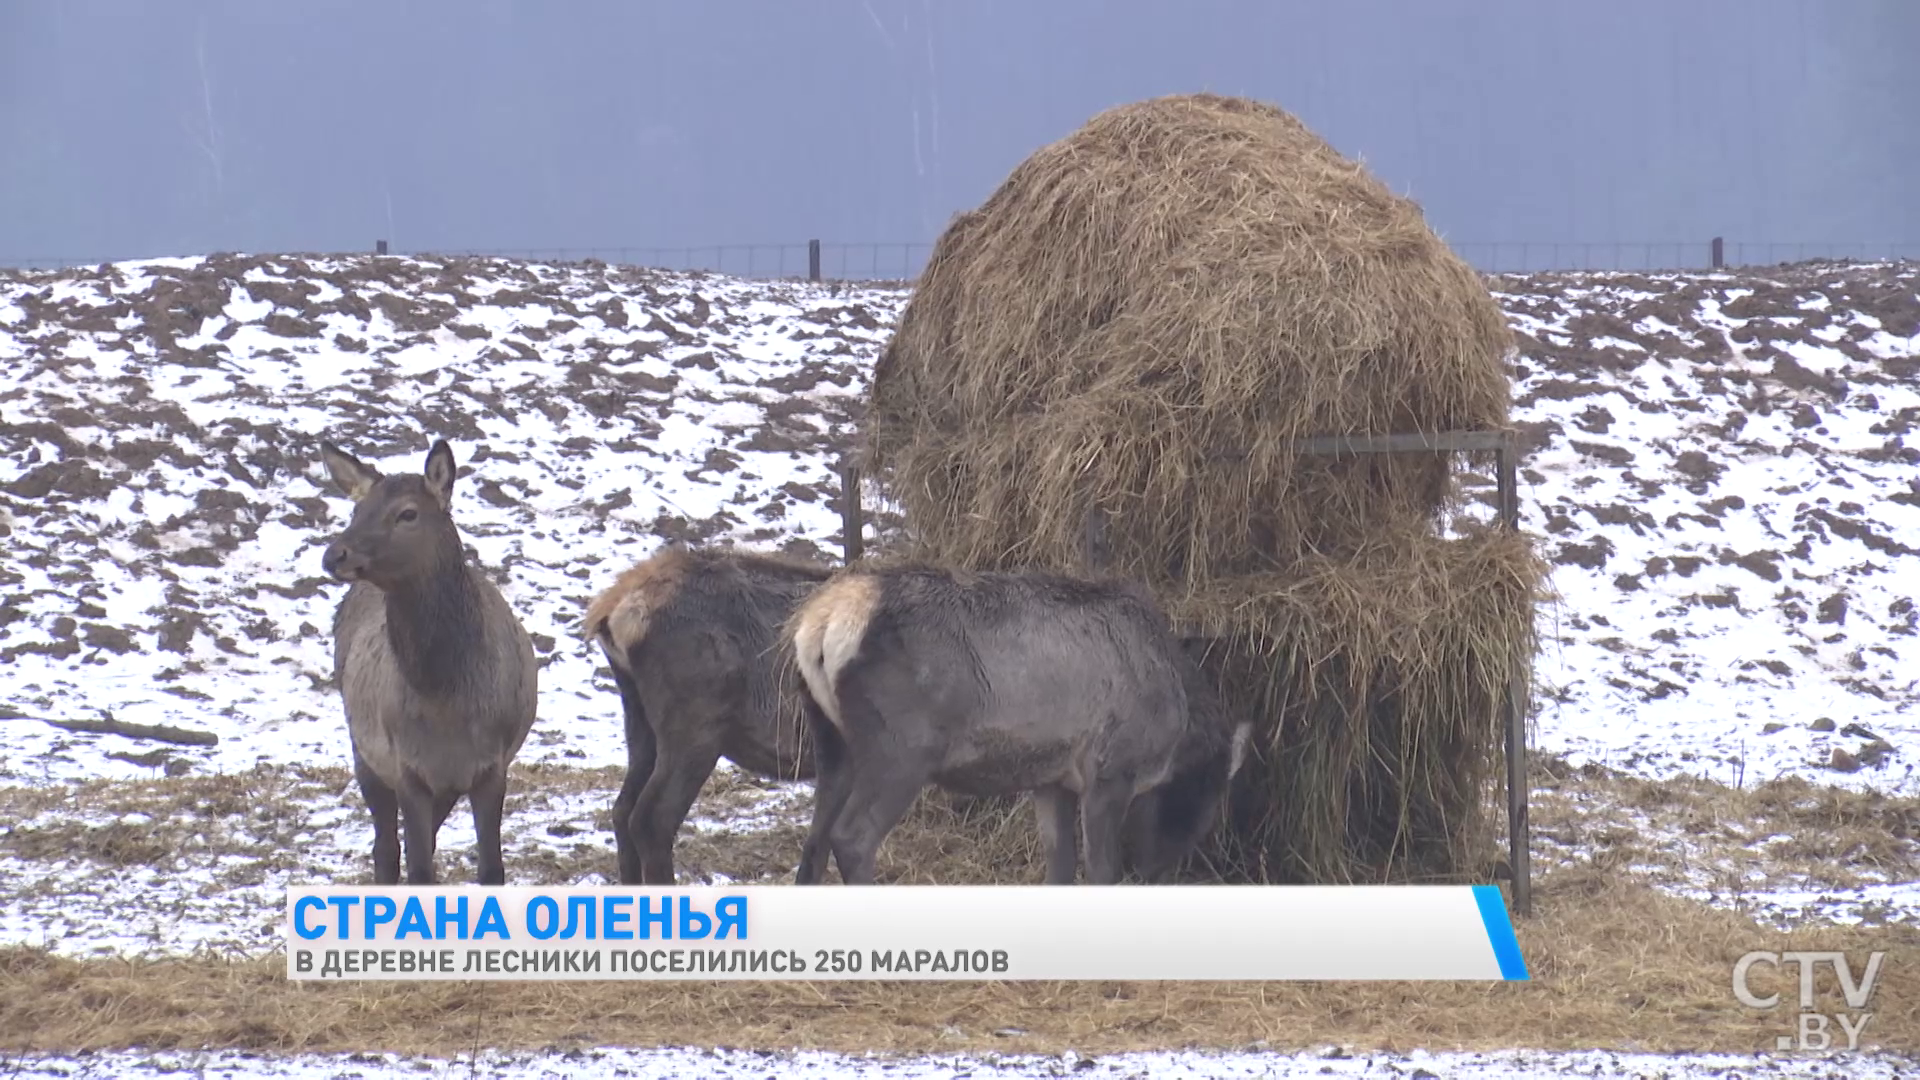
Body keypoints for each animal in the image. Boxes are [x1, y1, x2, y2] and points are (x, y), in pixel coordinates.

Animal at [318, 438, 537, 883]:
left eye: (408, 513)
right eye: (357, 510)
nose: (335, 555)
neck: (447, 699)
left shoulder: (492, 766)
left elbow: (491, 869)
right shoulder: (406, 766)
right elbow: (420, 869)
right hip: (364, 751)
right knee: (386, 848)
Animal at [783, 564, 1251, 883]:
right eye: (1208, 806)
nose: (1159, 874)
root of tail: (820, 625)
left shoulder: (1052, 779)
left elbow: (1060, 868)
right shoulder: (1110, 770)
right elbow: (1102, 872)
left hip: (831, 740)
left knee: (815, 839)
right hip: (902, 750)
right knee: (852, 836)